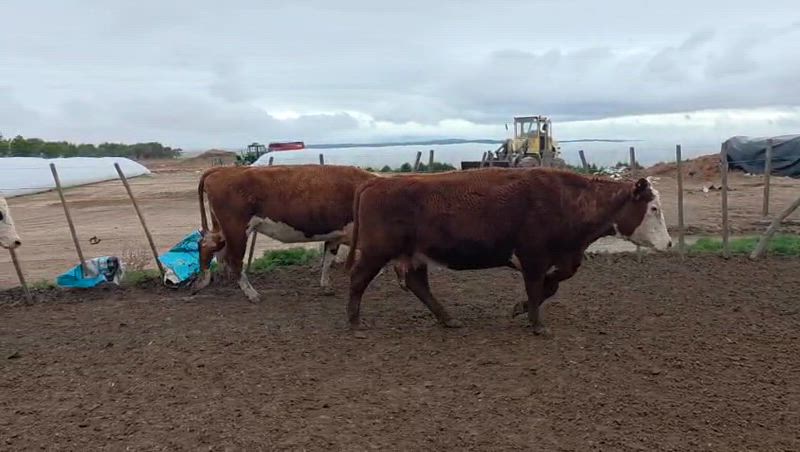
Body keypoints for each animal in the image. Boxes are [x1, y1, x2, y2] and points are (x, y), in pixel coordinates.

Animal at [192, 164, 377, 302]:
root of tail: (222, 170)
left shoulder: (336, 236)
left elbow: (328, 260)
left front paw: (326, 286)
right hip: (237, 229)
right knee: (234, 259)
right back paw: (252, 294)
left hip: (223, 229)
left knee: (208, 245)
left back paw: (205, 280)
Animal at [345, 167, 672, 334]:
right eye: (653, 208)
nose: (668, 243)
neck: (567, 201)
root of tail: (375, 184)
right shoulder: (534, 257)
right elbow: (536, 288)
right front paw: (537, 325)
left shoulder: (561, 259)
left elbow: (548, 288)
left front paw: (520, 309)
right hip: (376, 251)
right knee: (358, 279)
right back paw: (354, 322)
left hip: (414, 254)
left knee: (418, 284)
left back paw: (448, 319)